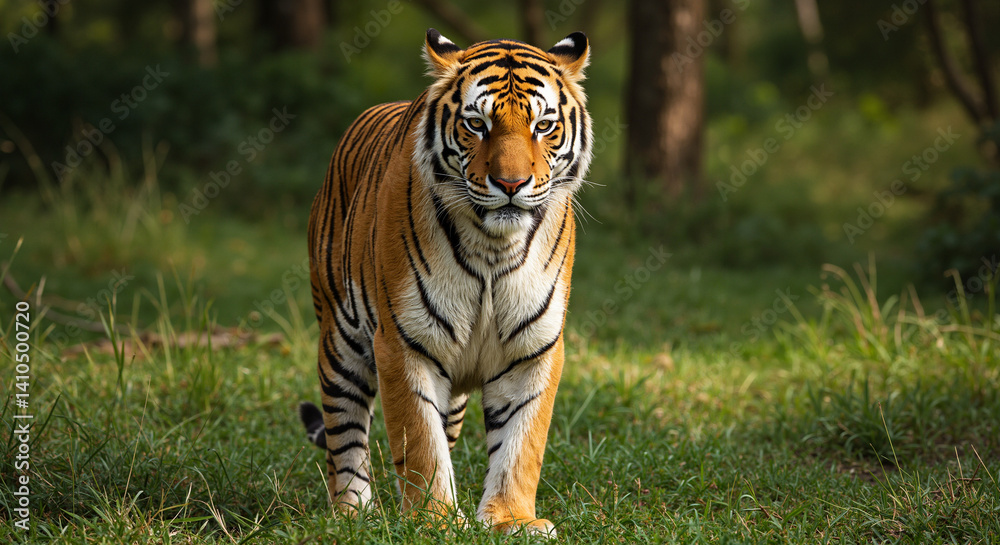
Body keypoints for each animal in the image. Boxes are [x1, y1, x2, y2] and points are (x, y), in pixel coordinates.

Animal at [298, 28, 593, 536]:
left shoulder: (534, 350)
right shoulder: (403, 343)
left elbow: (521, 445)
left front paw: (512, 519)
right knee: (345, 437)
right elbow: (419, 441)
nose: (510, 184)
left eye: (543, 126)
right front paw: (433, 522)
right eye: (477, 124)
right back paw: (353, 514)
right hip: (340, 343)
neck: (494, 245)